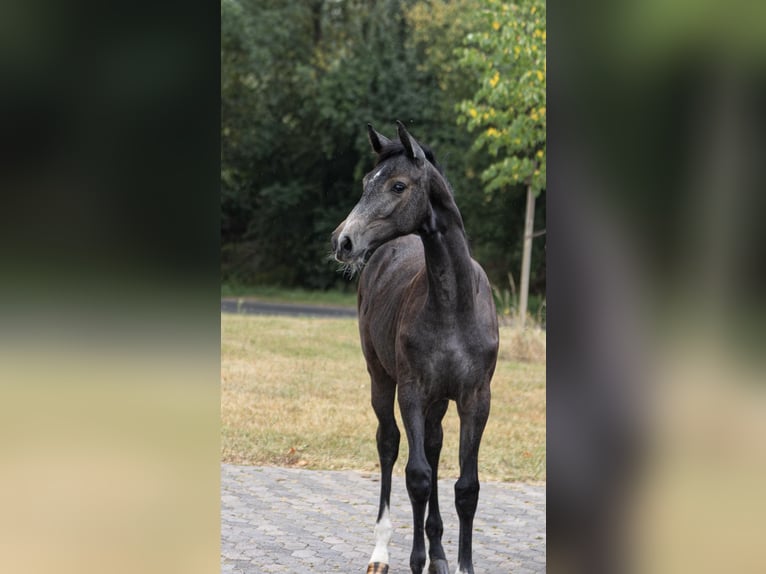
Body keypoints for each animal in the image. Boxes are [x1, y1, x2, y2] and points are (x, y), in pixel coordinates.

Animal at [331, 122, 499, 574]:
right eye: (365, 182)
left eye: (398, 185)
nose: (343, 240)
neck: (453, 304)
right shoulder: (411, 390)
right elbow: (417, 476)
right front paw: (415, 559)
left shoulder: (476, 397)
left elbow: (467, 486)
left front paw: (458, 564)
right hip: (380, 377)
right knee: (389, 444)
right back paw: (381, 553)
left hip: (439, 400)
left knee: (435, 445)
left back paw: (438, 553)